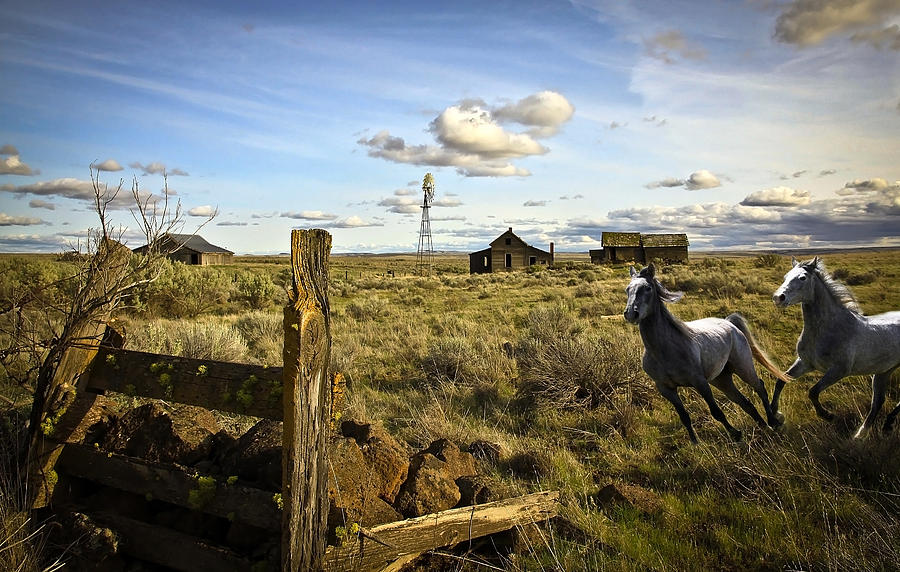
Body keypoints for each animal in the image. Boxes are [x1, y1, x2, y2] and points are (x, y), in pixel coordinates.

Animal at [624, 264, 788, 442]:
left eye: (647, 288)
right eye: (627, 289)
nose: (630, 314)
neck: (663, 351)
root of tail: (730, 323)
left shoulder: (700, 382)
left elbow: (716, 412)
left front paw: (735, 434)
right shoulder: (666, 389)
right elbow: (684, 417)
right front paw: (695, 442)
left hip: (743, 367)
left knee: (760, 387)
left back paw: (772, 422)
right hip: (722, 379)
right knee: (745, 402)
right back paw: (763, 426)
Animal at [768, 256, 900, 438]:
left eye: (803, 278)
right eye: (785, 276)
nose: (778, 298)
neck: (828, 328)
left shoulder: (839, 370)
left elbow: (813, 391)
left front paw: (828, 415)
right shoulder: (805, 363)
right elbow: (781, 380)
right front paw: (776, 416)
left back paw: (885, 425)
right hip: (883, 371)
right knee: (878, 402)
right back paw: (862, 435)